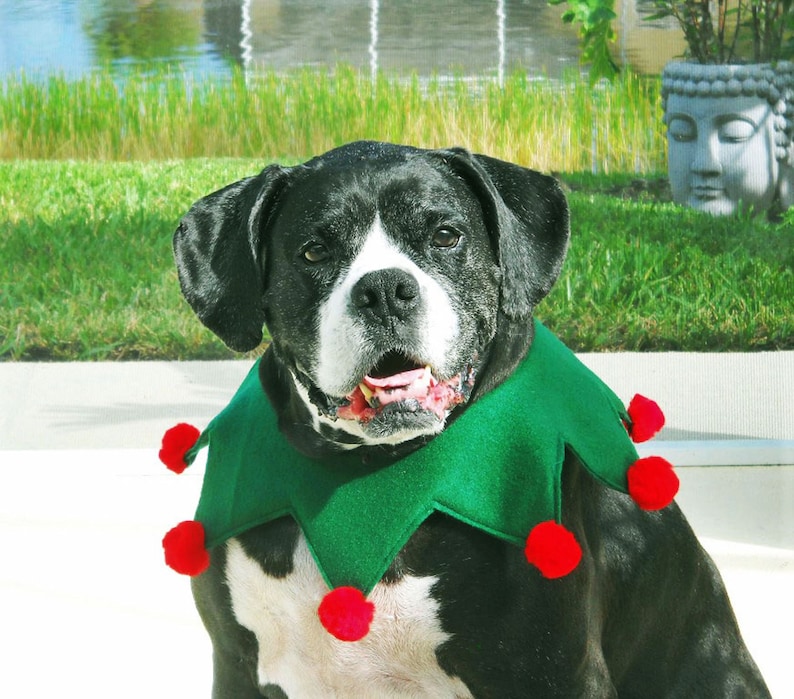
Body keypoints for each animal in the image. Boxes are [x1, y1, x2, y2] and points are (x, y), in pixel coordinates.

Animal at [172, 139, 768, 696]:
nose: (384, 289)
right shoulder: (236, 667)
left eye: (444, 236)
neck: (370, 470)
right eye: (315, 250)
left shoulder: (560, 673)